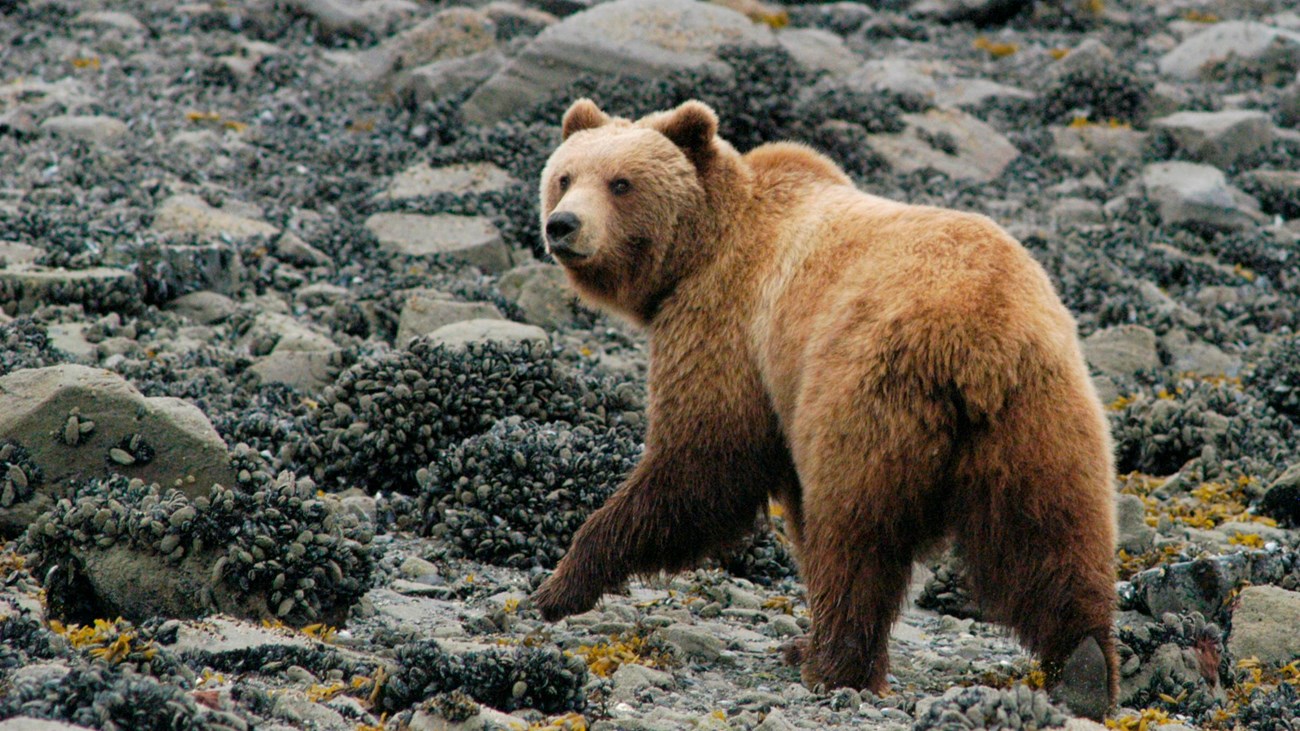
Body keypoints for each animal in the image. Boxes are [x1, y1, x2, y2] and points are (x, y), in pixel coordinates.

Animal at [527, 96, 1118, 717]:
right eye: (565, 177)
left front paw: (561, 584)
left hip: (867, 394)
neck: (702, 247)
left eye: (621, 183)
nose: (563, 225)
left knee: (856, 536)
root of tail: (976, 332)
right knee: (1055, 536)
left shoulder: (729, 330)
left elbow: (700, 462)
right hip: (1042, 413)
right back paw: (1084, 665)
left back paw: (835, 666)